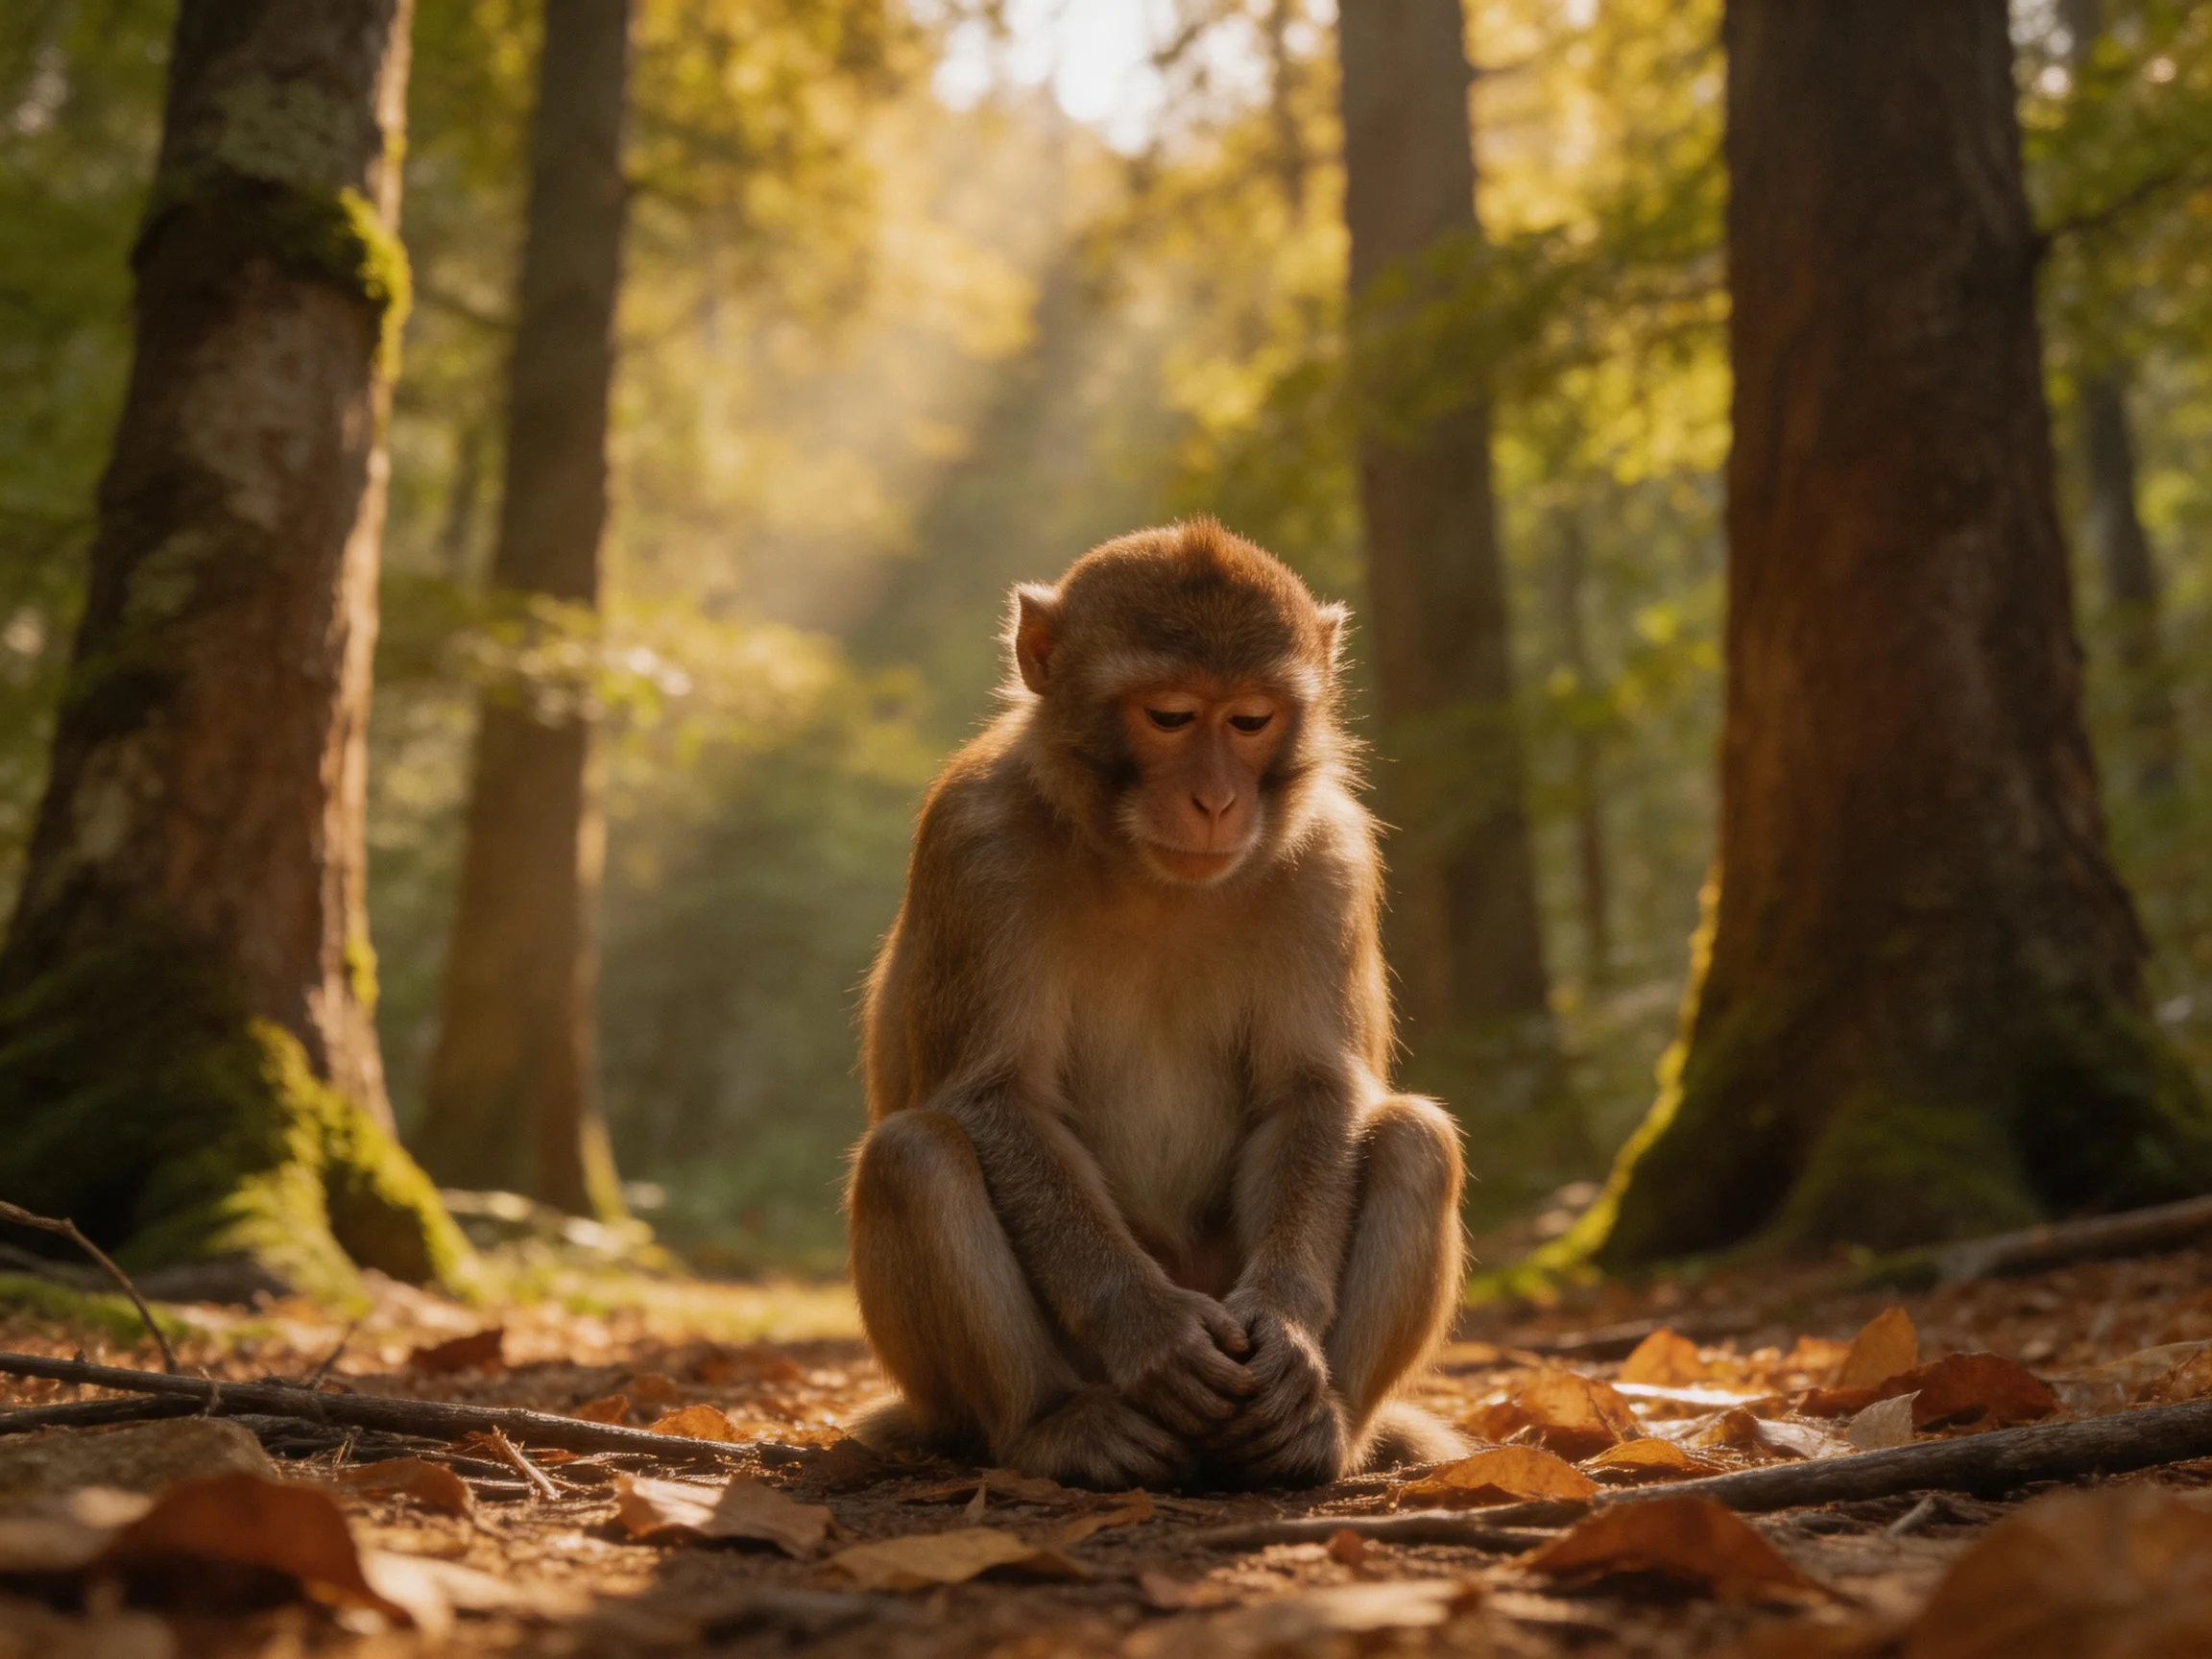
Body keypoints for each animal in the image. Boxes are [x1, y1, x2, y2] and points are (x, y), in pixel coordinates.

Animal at [845, 518, 1466, 1489]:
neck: (1144, 872)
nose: (1215, 800)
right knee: (914, 1155)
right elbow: (994, 1096)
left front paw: (1286, 1326)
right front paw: (1153, 1330)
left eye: (1250, 719)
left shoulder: (1331, 859)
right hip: (958, 1390)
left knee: (1414, 1137)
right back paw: (1056, 1426)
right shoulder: (973, 844)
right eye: (1169, 716)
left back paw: (1319, 1428)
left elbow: (1312, 1092)